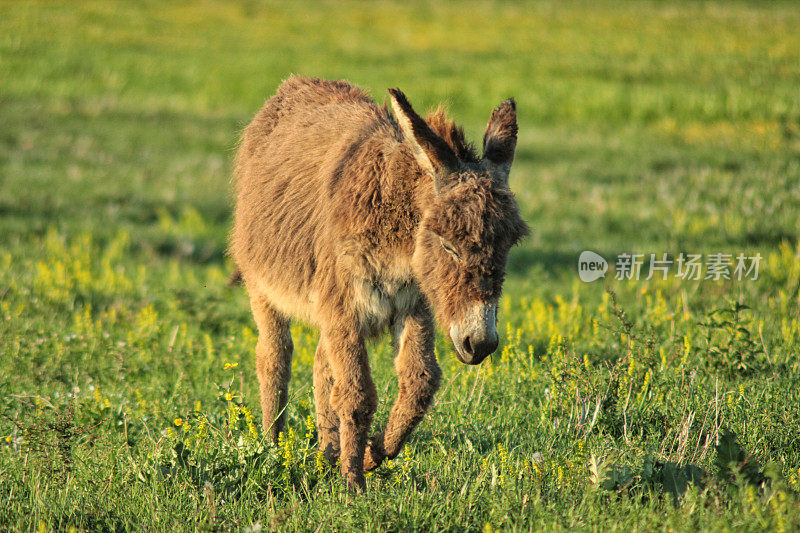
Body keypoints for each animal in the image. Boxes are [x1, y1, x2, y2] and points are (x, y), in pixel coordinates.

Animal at [231, 76, 528, 490]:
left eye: (510, 244)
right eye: (448, 245)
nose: (480, 344)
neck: (398, 243)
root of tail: (300, 83)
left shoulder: (413, 304)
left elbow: (419, 383)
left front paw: (371, 454)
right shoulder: (346, 308)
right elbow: (358, 394)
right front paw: (354, 485)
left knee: (322, 364)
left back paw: (327, 454)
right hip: (264, 287)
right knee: (275, 357)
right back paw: (273, 447)